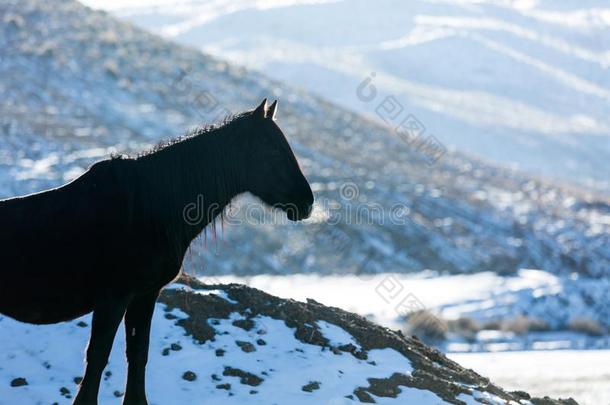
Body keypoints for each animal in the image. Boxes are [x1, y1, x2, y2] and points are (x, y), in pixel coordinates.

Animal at [0, 98, 312, 404]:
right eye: (272, 150)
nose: (307, 202)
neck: (150, 210)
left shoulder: (145, 296)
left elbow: (138, 353)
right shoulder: (113, 298)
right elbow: (98, 357)